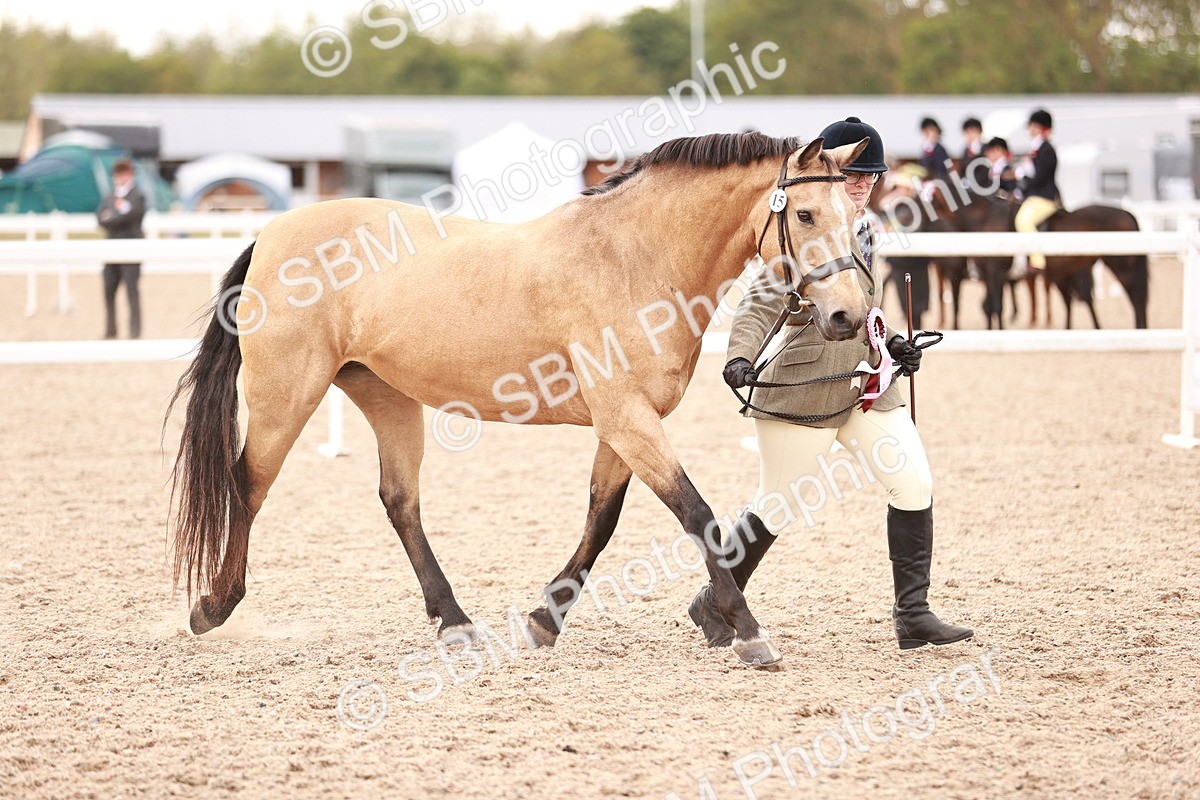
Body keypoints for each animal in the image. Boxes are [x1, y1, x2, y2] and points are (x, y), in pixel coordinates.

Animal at [165, 132, 873, 669]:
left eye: (856, 221)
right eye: (805, 215)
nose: (846, 317)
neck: (631, 259)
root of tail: (271, 236)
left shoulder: (623, 423)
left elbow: (601, 520)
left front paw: (544, 620)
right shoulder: (629, 419)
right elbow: (697, 516)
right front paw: (748, 632)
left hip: (386, 397)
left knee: (399, 501)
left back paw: (454, 621)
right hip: (286, 397)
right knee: (247, 484)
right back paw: (213, 606)